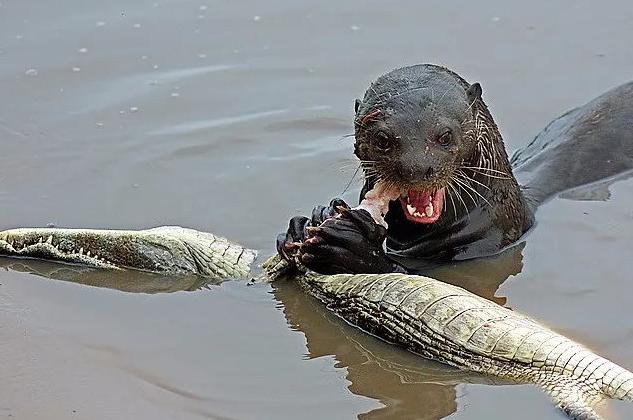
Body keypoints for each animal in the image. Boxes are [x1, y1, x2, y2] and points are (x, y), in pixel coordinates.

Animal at [276, 64, 632, 274]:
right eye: (382, 139)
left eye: (445, 135)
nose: (417, 168)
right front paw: (307, 222)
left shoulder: (485, 246)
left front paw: (351, 246)